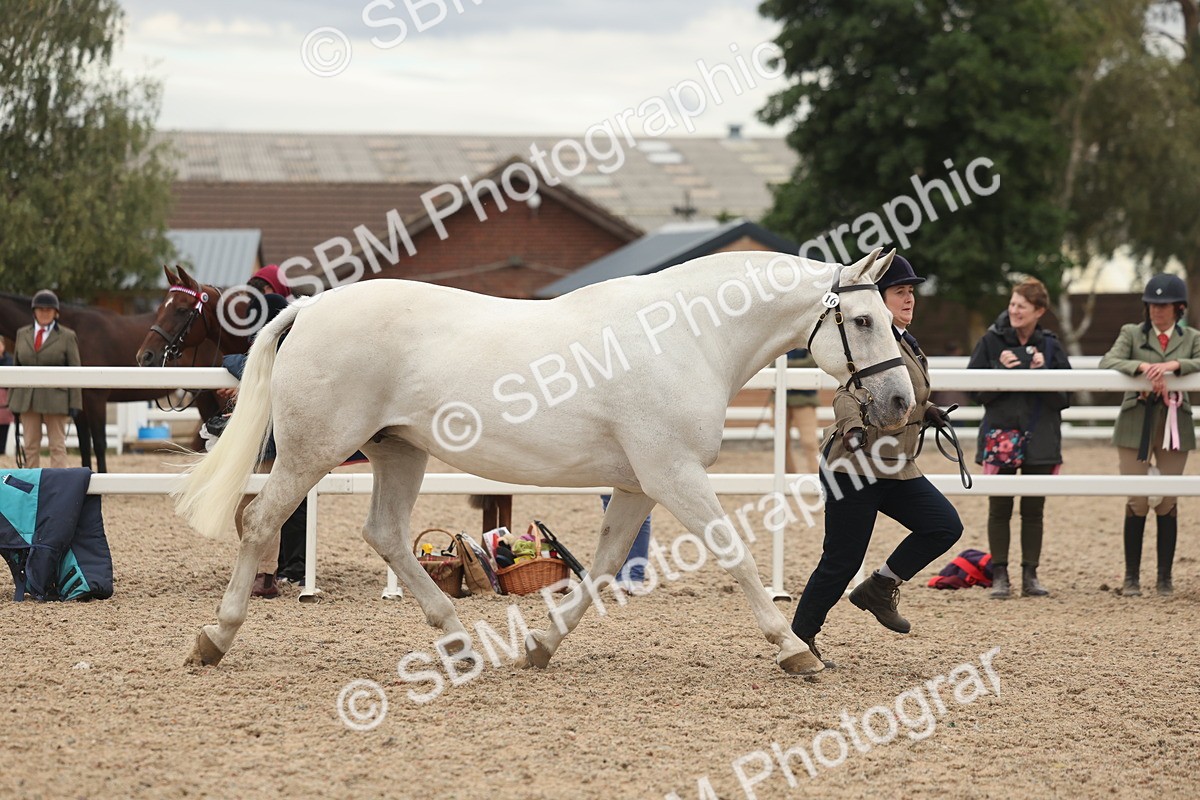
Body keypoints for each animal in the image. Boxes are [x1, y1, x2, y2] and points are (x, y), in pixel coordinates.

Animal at [175, 247, 915, 676]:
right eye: (866, 321)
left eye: (888, 318)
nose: (902, 401)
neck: (686, 336)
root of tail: (308, 308)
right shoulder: (674, 474)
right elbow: (734, 555)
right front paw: (793, 650)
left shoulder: (640, 484)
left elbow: (605, 565)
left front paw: (540, 647)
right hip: (313, 452)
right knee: (260, 524)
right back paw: (214, 638)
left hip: (399, 450)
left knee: (384, 533)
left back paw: (458, 645)